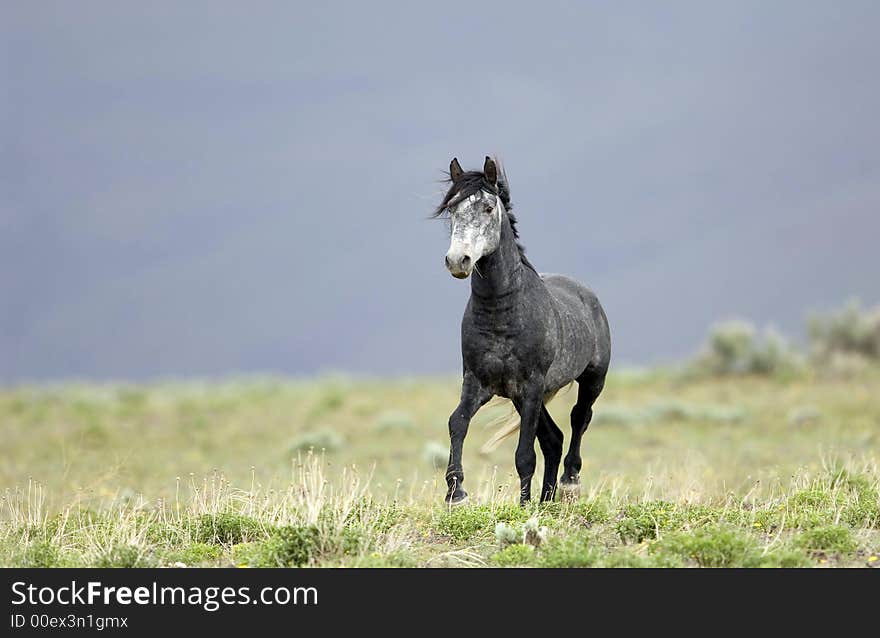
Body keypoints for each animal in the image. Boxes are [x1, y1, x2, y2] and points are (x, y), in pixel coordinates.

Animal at [434, 156, 612, 504]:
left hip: (591, 379)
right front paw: (456, 492)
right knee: (553, 438)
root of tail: (587, 294)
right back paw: (547, 499)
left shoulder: (531, 384)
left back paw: (568, 484)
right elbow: (457, 422)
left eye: (488, 207)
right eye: (451, 208)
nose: (458, 261)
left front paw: (523, 505)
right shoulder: (478, 382)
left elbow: (524, 454)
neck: (502, 315)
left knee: (578, 419)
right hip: (526, 396)